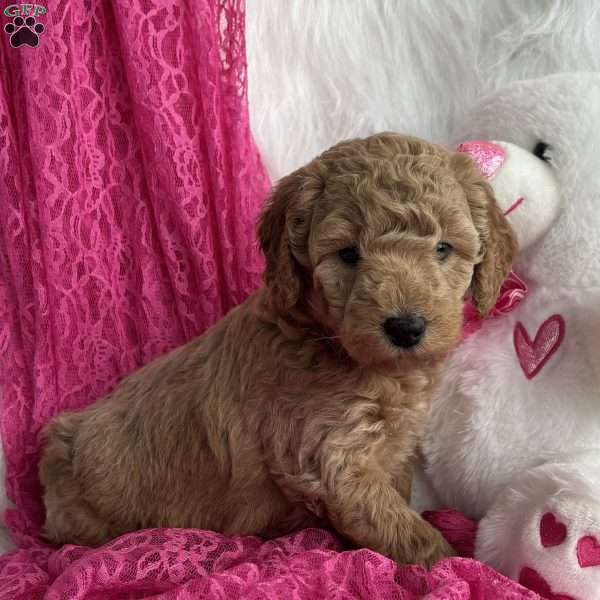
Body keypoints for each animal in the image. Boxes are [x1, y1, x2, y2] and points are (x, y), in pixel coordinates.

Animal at [38, 132, 516, 568]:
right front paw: (453, 561)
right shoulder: (331, 457)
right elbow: (405, 530)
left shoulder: (389, 449)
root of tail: (60, 442)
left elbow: (396, 496)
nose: (405, 328)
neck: (330, 342)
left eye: (443, 248)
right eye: (348, 254)